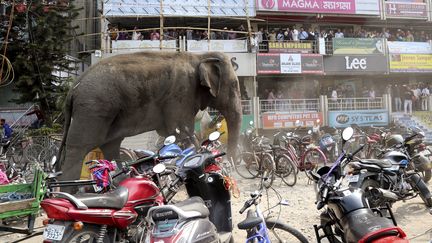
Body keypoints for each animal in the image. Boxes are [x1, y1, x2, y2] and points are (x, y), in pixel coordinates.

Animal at [55, 51, 241, 183]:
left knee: (111, 146)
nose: (231, 167)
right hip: (93, 109)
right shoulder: (181, 94)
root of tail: (73, 89)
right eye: (234, 85)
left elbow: (172, 133)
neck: (199, 56)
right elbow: (181, 131)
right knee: (78, 148)